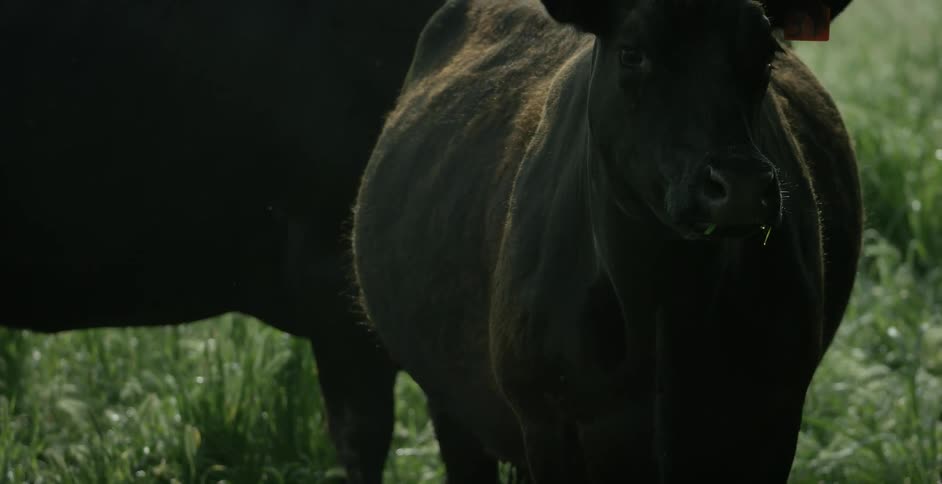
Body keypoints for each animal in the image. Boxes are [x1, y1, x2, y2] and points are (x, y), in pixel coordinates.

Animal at [352, 0, 862, 482]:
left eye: (766, 51)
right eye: (632, 53)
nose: (738, 186)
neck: (665, 300)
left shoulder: (773, 417)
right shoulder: (548, 424)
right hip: (450, 407)